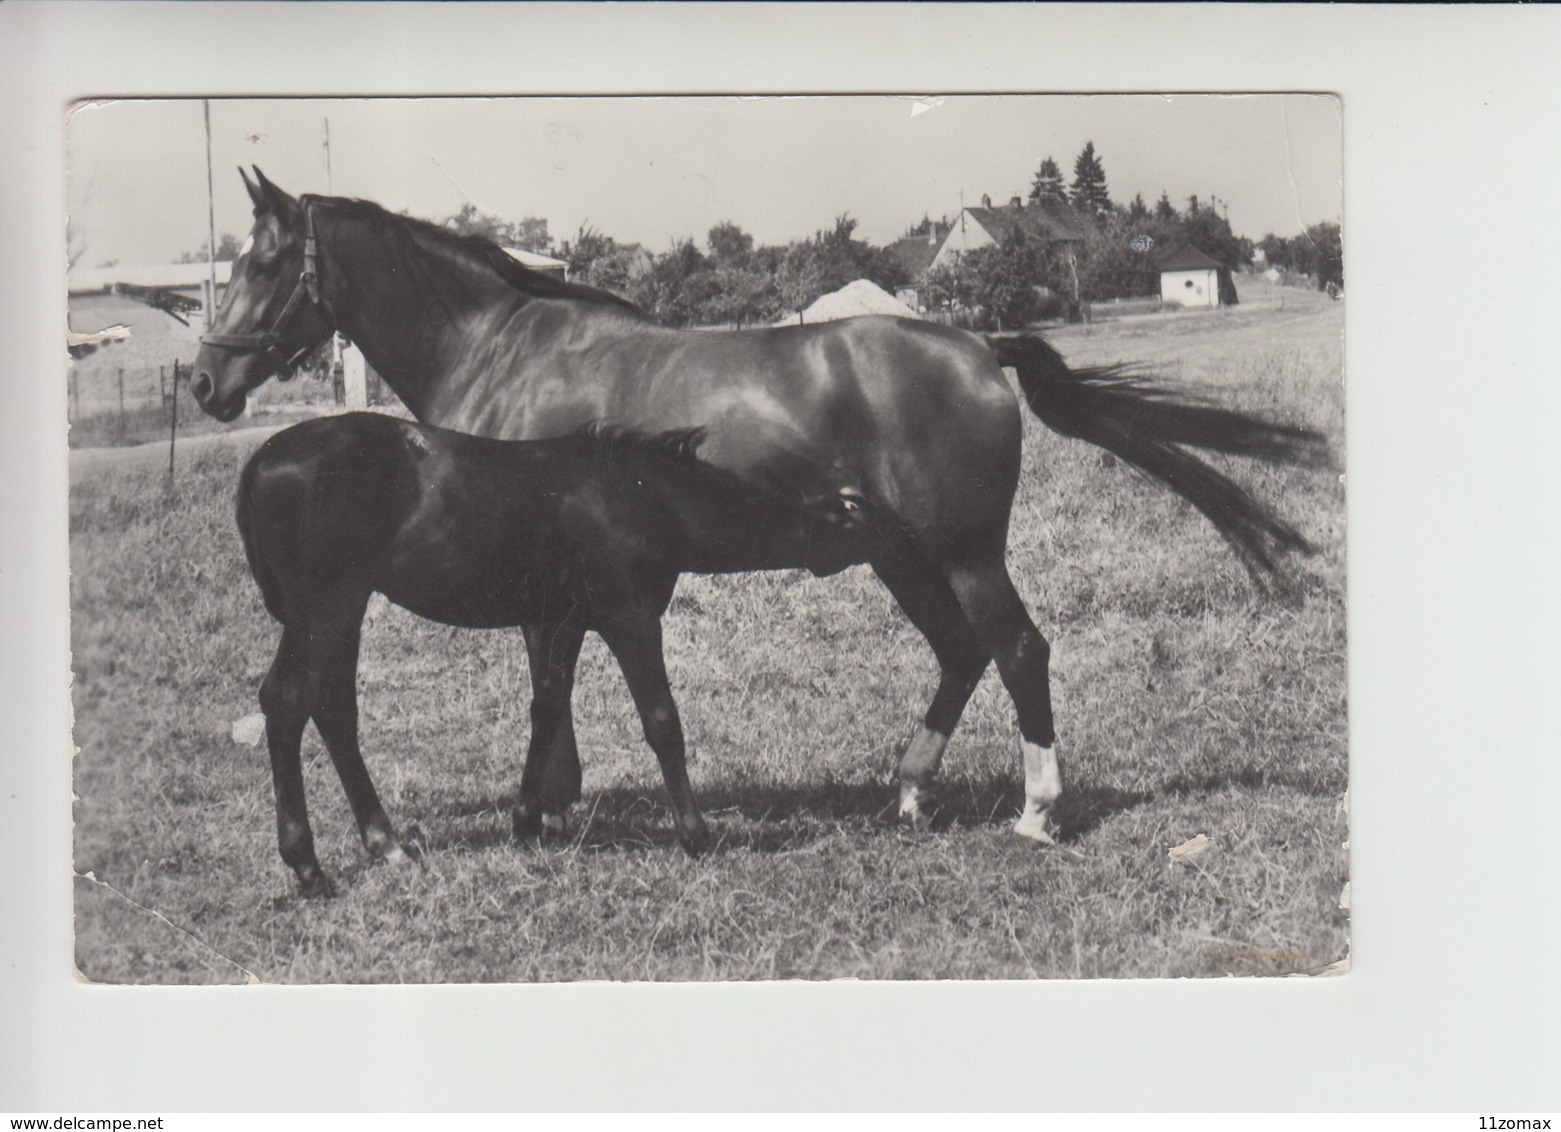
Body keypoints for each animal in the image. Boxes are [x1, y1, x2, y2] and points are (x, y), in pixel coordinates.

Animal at [237, 412, 874, 899]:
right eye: (864, 526)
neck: (637, 493)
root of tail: (262, 461)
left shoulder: (563, 622)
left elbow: (547, 710)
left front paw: (527, 823)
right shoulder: (628, 617)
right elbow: (662, 722)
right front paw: (695, 835)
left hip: (344, 609)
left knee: (334, 709)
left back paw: (385, 842)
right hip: (325, 605)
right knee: (288, 701)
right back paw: (308, 866)